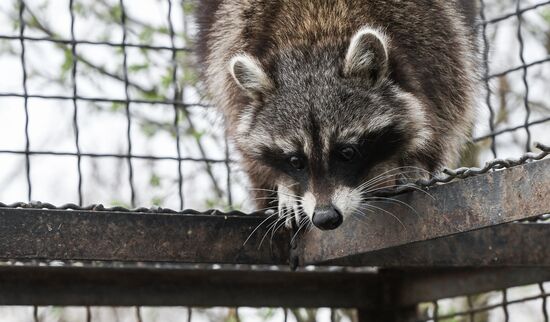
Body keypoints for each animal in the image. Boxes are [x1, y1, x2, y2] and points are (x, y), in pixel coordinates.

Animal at [197, 0, 478, 231]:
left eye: (347, 152)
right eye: (295, 161)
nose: (325, 218)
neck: (315, 32)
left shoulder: (435, 44)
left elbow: (441, 117)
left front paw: (415, 162)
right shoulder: (233, 43)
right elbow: (248, 144)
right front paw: (285, 185)